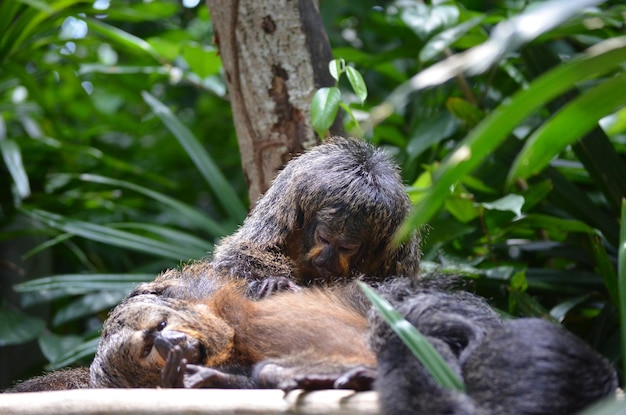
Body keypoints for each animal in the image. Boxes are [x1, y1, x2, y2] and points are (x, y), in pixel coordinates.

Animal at [210, 138, 420, 298]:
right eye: (323, 238)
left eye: (346, 248)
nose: (327, 260)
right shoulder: (290, 195)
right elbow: (236, 256)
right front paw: (275, 281)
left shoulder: (399, 236)